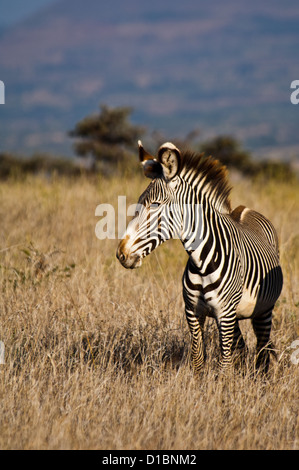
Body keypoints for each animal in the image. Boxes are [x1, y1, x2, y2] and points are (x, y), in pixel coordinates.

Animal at [116, 141, 284, 372]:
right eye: (139, 203)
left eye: (155, 204)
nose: (121, 254)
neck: (203, 263)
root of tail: (245, 209)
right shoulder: (193, 312)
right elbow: (197, 360)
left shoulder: (225, 314)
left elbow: (223, 366)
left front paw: (223, 382)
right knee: (242, 350)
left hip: (263, 310)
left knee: (262, 351)